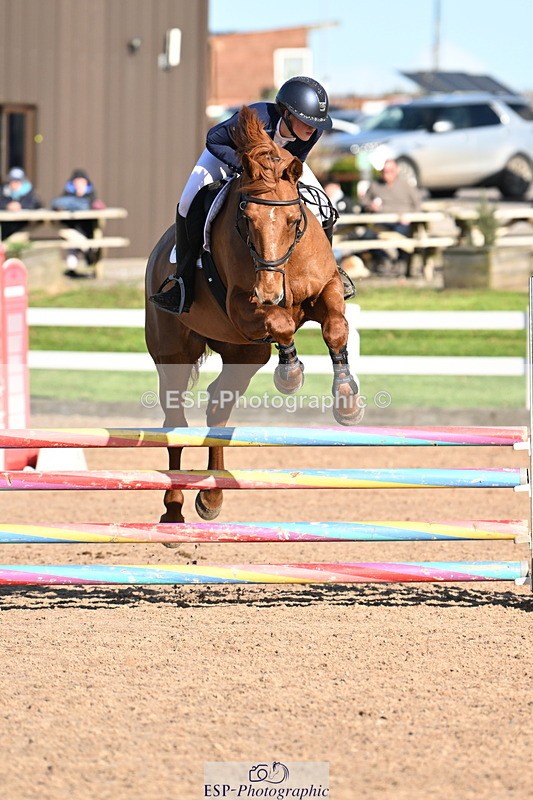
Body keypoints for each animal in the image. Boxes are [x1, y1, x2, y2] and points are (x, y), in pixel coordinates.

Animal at [145, 105, 363, 524]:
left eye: (295, 221)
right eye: (246, 220)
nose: (269, 291)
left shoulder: (326, 288)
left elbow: (336, 329)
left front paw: (347, 402)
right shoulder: (240, 307)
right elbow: (280, 322)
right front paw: (290, 375)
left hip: (243, 354)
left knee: (217, 408)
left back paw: (212, 496)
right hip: (173, 355)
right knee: (175, 422)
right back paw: (174, 509)